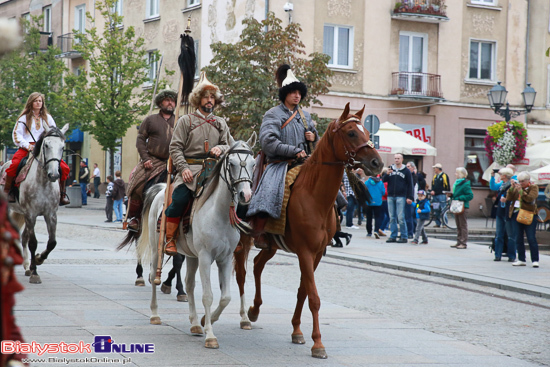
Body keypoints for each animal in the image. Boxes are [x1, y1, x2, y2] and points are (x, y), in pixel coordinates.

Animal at [0, 123, 69, 284]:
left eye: (62, 146)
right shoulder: (30, 214)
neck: (43, 181)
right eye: (46, 145)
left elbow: (52, 242)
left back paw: (26, 265)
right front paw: (35, 274)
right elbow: (33, 242)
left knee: (24, 236)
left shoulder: (50, 214)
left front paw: (37, 260)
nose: (54, 175)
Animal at [138, 137, 258, 350]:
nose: (245, 195)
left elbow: (225, 297)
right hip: (156, 248)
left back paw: (194, 323)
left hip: (192, 256)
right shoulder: (205, 257)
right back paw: (155, 314)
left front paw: (205, 321)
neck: (218, 213)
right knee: (153, 276)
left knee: (189, 284)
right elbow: (208, 296)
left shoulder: (225, 258)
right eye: (232, 164)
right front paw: (210, 336)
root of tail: (161, 190)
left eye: (253, 164)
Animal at [236, 103, 384, 360]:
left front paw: (297, 331)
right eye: (351, 133)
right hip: (242, 238)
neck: (315, 196)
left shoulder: (316, 254)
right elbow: (313, 297)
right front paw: (318, 344)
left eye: (367, 131)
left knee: (257, 265)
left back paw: (254, 309)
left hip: (271, 245)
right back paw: (244, 316)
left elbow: (303, 291)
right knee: (241, 271)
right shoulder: (304, 252)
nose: (377, 163)